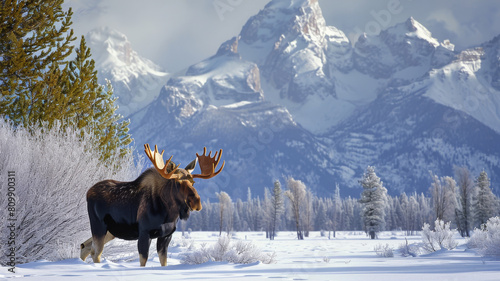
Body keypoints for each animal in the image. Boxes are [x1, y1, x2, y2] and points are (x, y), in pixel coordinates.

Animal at [80, 143, 225, 266]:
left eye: (193, 182)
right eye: (177, 182)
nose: (196, 202)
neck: (169, 214)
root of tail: (88, 192)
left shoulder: (166, 235)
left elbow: (164, 262)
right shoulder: (145, 232)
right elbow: (143, 261)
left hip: (111, 231)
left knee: (85, 246)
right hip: (98, 225)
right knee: (96, 252)